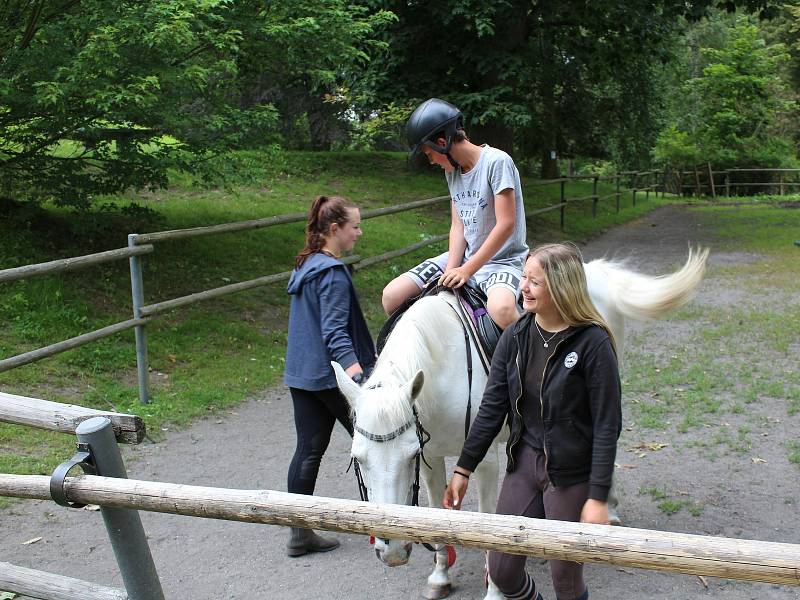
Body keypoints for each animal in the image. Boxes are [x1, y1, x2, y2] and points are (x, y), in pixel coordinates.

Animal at [334, 248, 708, 600]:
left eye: (408, 456)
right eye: (357, 459)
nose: (393, 551)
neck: (444, 363)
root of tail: (593, 273)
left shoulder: (481, 459)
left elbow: (489, 525)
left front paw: (494, 590)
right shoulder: (432, 457)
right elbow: (435, 512)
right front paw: (440, 576)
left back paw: (607, 511)